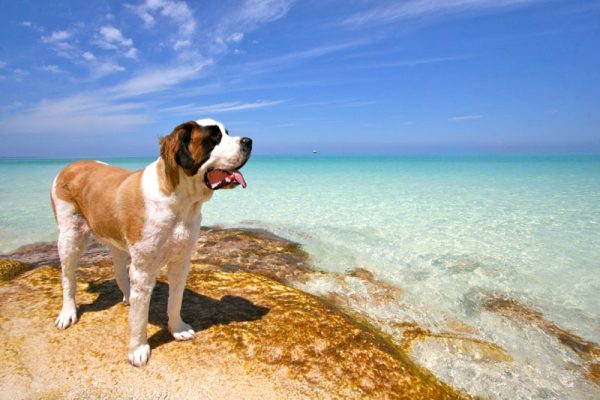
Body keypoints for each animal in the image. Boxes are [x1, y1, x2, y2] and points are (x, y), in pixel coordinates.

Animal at [48, 118, 251, 366]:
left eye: (226, 133)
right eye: (214, 138)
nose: (248, 141)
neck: (180, 201)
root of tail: (69, 166)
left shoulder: (181, 262)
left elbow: (175, 300)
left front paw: (177, 328)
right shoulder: (144, 269)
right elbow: (139, 317)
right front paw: (138, 349)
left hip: (115, 240)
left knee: (119, 271)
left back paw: (128, 297)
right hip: (70, 236)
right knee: (68, 277)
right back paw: (68, 313)